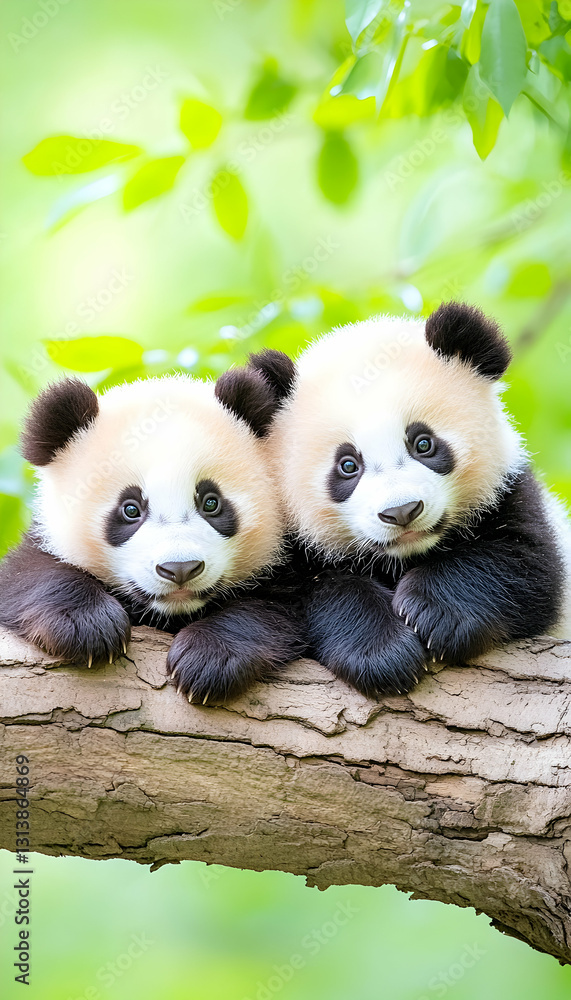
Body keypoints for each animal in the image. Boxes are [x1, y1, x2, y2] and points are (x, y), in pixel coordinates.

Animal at [0, 368, 305, 703]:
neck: (172, 614)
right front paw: (86, 626)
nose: (180, 569)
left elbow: (272, 609)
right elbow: (28, 574)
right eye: (130, 509)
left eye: (211, 502)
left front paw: (208, 659)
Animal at [248, 302, 571, 697]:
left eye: (423, 443)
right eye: (348, 465)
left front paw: (435, 614)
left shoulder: (511, 494)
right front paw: (383, 654)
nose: (401, 512)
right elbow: (316, 593)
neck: (404, 556)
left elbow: (522, 566)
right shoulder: (292, 546)